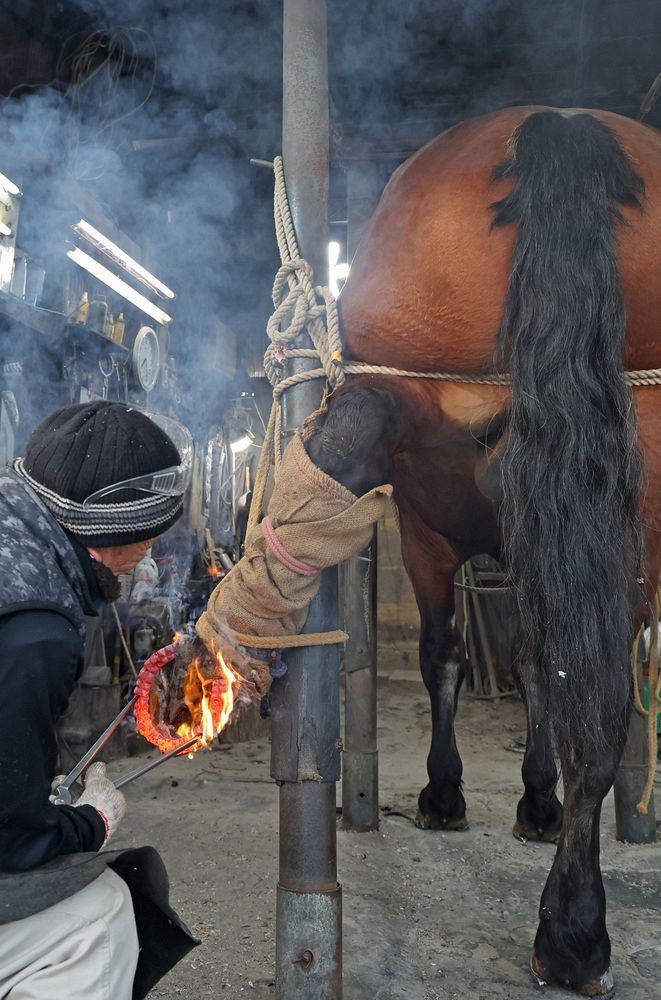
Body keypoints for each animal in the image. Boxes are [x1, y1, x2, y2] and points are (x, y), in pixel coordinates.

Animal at [306, 105, 660, 996]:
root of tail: (560, 126)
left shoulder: (427, 532)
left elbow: (450, 656)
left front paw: (449, 791)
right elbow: (525, 663)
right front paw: (522, 798)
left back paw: (570, 932)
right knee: (596, 694)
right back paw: (576, 924)